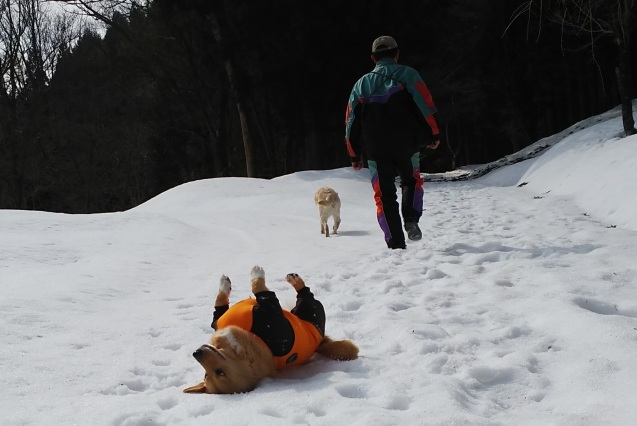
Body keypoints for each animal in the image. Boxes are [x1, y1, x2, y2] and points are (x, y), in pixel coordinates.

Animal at [184, 264, 358, 394]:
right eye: (217, 372)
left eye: (211, 373)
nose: (196, 353)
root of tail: (320, 340)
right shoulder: (275, 317)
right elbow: (262, 291)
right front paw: (256, 273)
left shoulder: (217, 320)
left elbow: (220, 302)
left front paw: (224, 284)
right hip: (312, 310)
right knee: (306, 295)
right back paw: (296, 281)